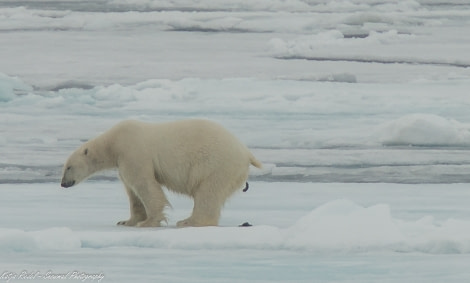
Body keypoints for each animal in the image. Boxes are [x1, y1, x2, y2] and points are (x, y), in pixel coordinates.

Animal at [60, 120, 262, 229]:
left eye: (68, 167)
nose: (63, 183)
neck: (114, 142)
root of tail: (246, 152)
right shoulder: (122, 162)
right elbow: (132, 192)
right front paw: (127, 221)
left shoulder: (133, 152)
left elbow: (145, 185)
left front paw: (148, 222)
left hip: (218, 165)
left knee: (208, 193)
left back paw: (189, 221)